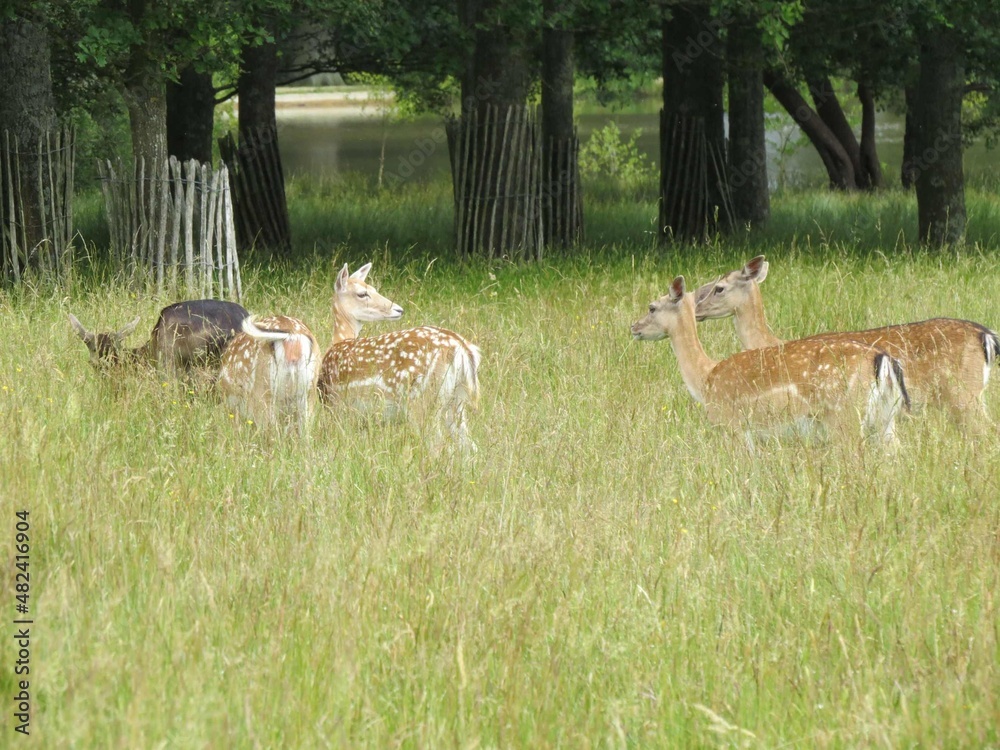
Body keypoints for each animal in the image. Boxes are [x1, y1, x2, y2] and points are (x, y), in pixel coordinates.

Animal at [316, 262, 480, 452]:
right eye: (362, 293)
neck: (339, 341)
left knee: (436, 444)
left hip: (422, 399)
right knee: (470, 446)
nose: (399, 309)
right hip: (457, 400)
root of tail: (461, 348)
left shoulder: (337, 407)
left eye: (373, 289)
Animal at [636, 278, 912, 450]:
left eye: (651, 307)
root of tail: (883, 360)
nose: (633, 327)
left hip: (845, 415)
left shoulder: (733, 426)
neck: (706, 381)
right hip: (886, 416)